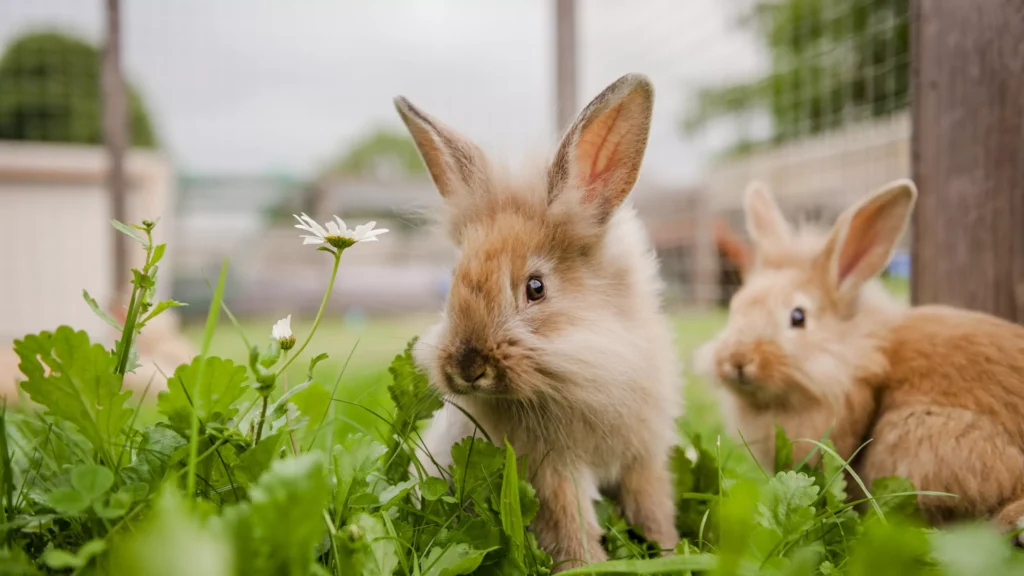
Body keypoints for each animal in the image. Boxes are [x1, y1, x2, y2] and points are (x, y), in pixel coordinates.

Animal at [391, 72, 679, 569]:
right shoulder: (554, 472)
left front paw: (668, 551)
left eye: (536, 287)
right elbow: (570, 524)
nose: (467, 367)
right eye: (453, 281)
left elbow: (653, 507)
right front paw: (586, 566)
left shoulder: (643, 457)